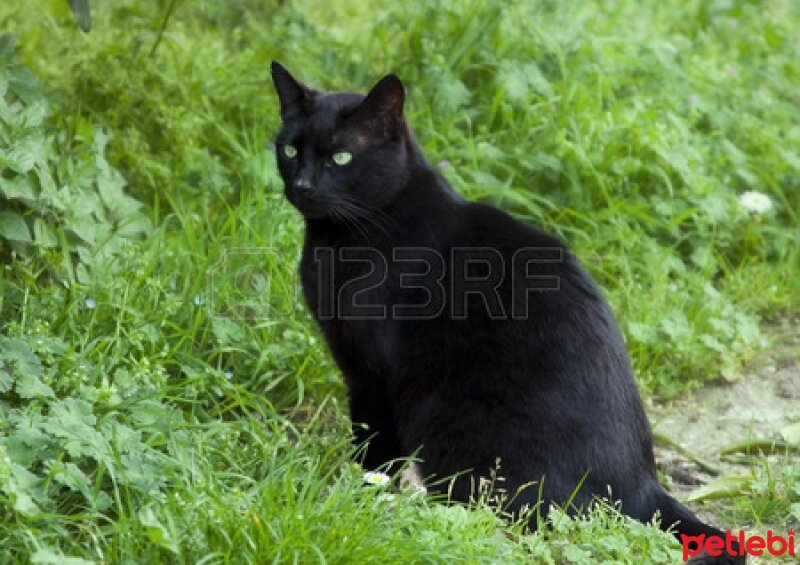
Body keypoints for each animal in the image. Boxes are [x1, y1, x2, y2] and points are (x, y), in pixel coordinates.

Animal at [272, 61, 748, 564]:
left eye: (341, 158)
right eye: (289, 149)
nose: (301, 185)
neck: (346, 236)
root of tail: (641, 484)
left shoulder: (371, 376)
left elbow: (374, 450)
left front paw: (359, 497)